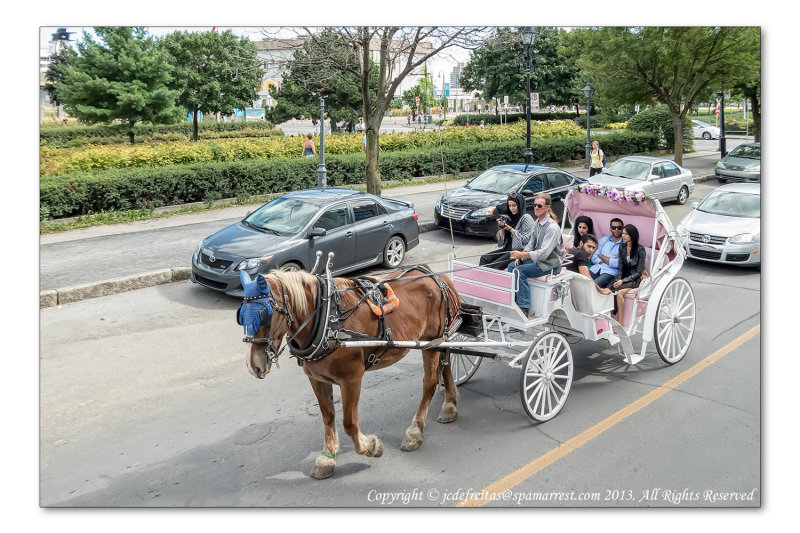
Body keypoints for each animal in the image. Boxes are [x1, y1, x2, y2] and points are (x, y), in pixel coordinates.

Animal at [238, 266, 462, 478]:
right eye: (240, 316)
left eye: (264, 315)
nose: (252, 366)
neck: (328, 320)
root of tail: (438, 277)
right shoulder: (316, 378)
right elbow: (328, 416)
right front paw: (327, 457)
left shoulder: (352, 378)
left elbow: (349, 422)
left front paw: (370, 446)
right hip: (439, 341)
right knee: (447, 365)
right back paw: (449, 405)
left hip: (431, 343)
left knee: (430, 383)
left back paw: (415, 430)